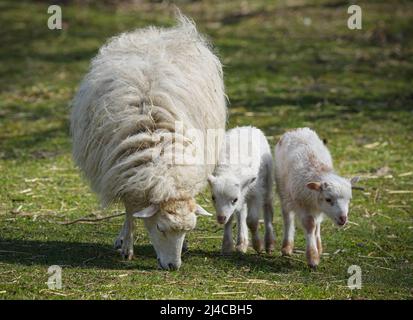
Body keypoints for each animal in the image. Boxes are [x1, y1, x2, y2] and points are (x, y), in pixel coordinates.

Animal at [69, 15, 227, 270]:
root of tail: (156, 32)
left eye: (187, 230)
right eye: (161, 228)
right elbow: (130, 210)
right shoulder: (126, 174)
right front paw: (127, 246)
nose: (174, 267)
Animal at [208, 126, 276, 254]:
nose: (220, 218)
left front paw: (258, 245)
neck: (230, 170)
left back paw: (269, 243)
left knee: (267, 206)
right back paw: (242, 243)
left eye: (234, 199)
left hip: (268, 178)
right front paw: (227, 246)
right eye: (213, 198)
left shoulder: (256, 193)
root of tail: (248, 127)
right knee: (242, 212)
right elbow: (230, 218)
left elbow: (252, 221)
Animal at [274, 127, 358, 268]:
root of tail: (297, 129)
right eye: (328, 199)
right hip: (284, 192)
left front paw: (317, 249)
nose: (343, 219)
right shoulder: (302, 205)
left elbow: (316, 224)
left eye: (349, 199)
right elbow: (310, 225)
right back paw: (287, 247)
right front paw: (312, 257)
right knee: (288, 217)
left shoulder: (317, 207)